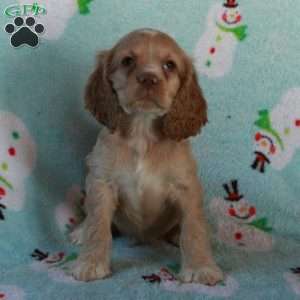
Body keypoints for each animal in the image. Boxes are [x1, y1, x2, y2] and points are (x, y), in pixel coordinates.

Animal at [69, 28, 223, 286]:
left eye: (169, 65)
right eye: (127, 61)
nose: (149, 78)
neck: (142, 131)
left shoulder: (187, 187)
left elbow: (194, 228)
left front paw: (200, 267)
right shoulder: (101, 182)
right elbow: (98, 225)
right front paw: (91, 262)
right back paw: (80, 231)